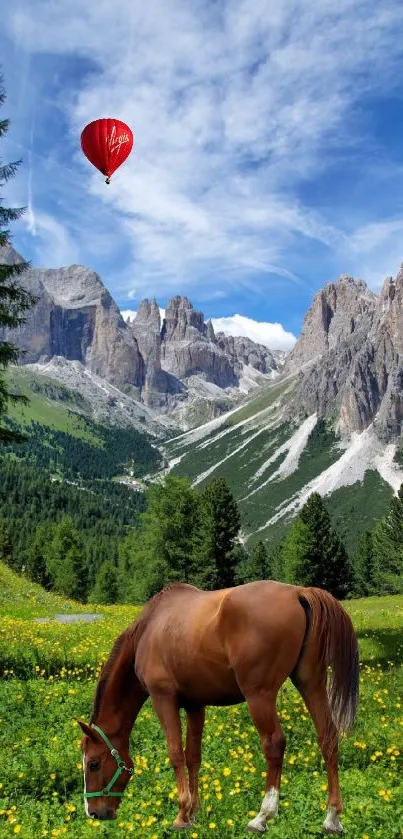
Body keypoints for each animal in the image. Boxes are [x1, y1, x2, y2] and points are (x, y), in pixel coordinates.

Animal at [79, 584, 360, 832]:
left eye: (93, 764)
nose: (93, 812)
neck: (148, 630)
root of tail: (298, 592)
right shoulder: (194, 705)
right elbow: (193, 755)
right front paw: (191, 813)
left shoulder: (163, 699)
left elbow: (175, 753)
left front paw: (181, 814)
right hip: (310, 683)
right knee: (327, 738)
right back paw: (332, 818)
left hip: (260, 695)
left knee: (274, 744)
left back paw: (262, 816)